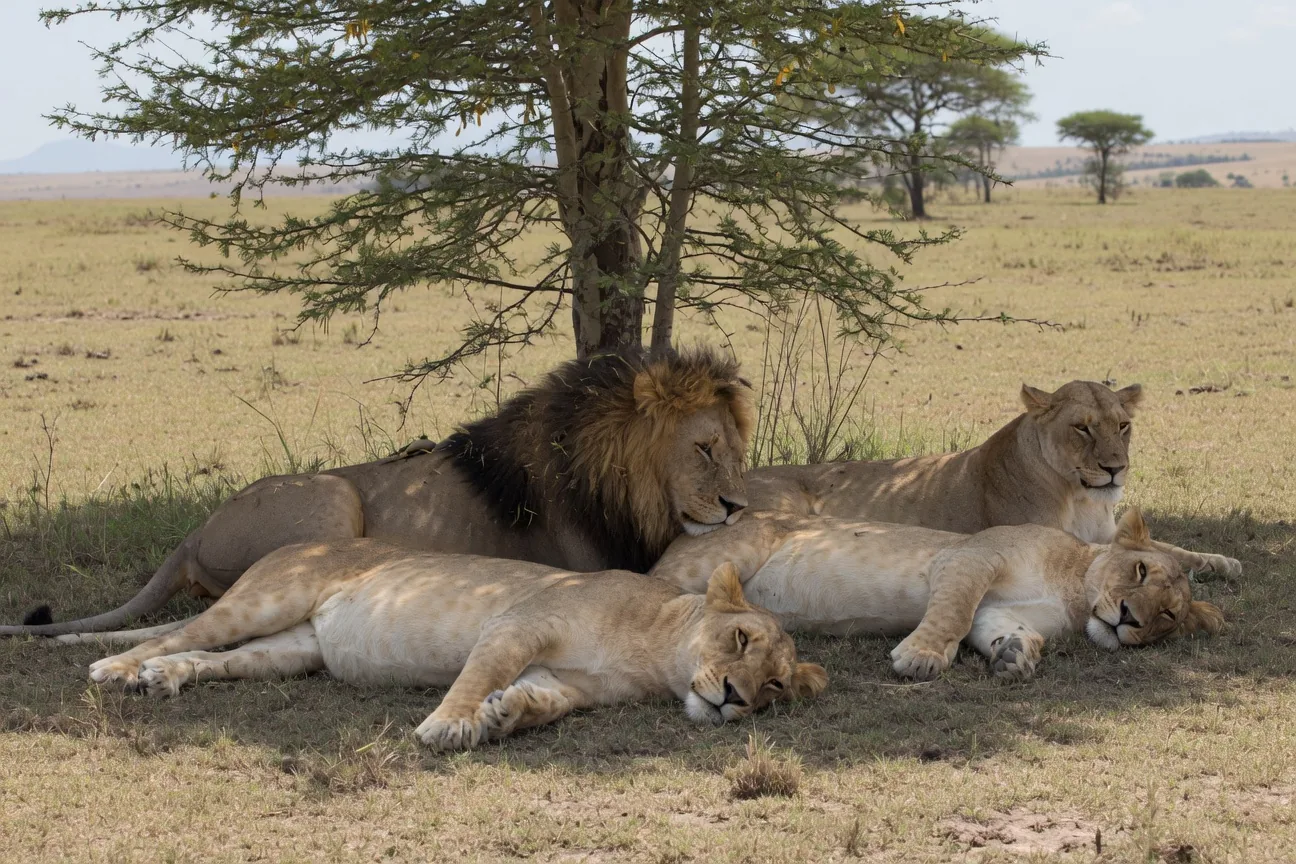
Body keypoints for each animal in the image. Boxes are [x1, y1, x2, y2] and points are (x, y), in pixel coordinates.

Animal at [2, 348, 753, 637]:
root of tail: (192, 535)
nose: (736, 507)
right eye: (704, 448)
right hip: (334, 499)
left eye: (734, 449)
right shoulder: (601, 563)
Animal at [78, 540, 828, 750]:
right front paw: (448, 725)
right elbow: (476, 675)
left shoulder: (572, 684)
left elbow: (539, 701)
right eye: (739, 637)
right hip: (265, 599)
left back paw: (165, 677)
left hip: (291, 651)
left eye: (776, 685)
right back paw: (116, 668)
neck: (654, 655)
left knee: (213, 659)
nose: (734, 699)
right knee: (179, 631)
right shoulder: (517, 626)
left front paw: (504, 716)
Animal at [650, 508, 1225, 681]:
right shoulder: (970, 558)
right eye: (1140, 570)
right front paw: (922, 657)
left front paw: (1015, 655)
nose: (1129, 618)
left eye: (1167, 616)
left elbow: (995, 626)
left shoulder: (999, 608)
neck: (1073, 590)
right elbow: (953, 613)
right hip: (719, 556)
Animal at [744, 380, 1240, 576]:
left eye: (1122, 426)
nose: (1116, 467)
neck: (1079, 497)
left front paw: (1220, 560)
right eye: (1082, 428)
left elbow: (1169, 547)